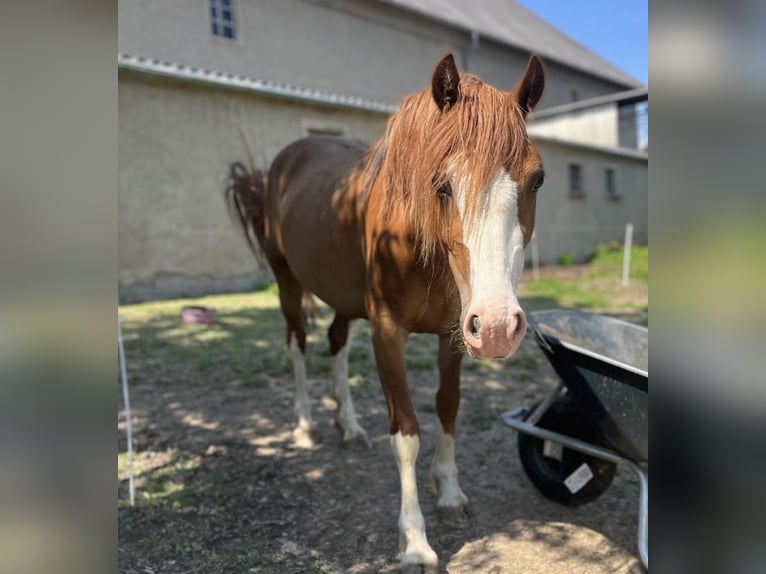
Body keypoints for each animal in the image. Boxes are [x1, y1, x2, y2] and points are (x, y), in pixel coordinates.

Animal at [226, 53, 544, 572]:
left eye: (537, 179)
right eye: (441, 182)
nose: (499, 327)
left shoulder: (454, 334)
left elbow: (448, 407)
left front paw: (450, 493)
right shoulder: (388, 333)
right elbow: (406, 431)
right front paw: (415, 542)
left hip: (344, 296)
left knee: (335, 344)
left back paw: (349, 426)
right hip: (289, 283)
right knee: (297, 345)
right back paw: (304, 425)